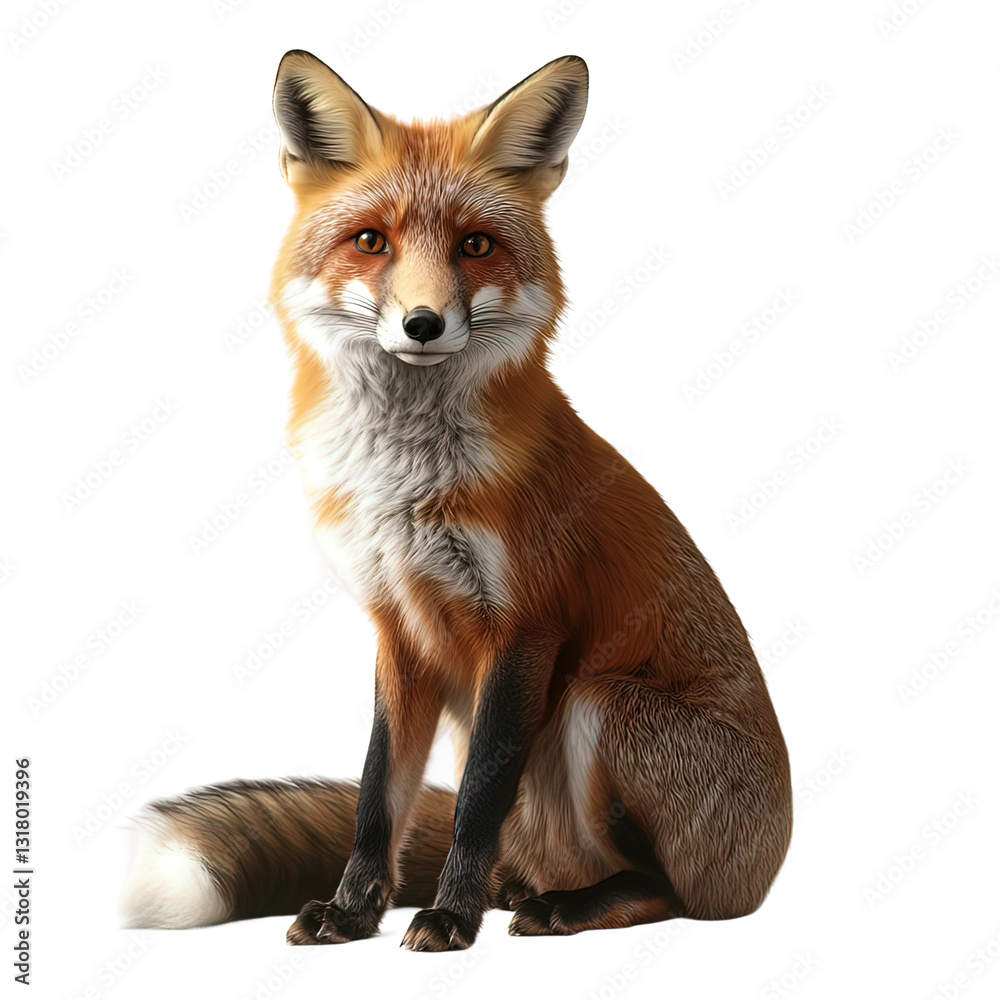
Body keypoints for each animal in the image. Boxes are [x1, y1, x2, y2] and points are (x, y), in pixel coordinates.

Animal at [121, 51, 792, 951]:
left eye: (475, 245)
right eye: (371, 241)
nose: (423, 323)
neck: (405, 487)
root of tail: (766, 870)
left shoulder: (525, 625)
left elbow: (475, 798)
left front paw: (449, 915)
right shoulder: (397, 626)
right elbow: (378, 795)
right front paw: (354, 910)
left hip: (599, 704)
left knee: (667, 890)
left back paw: (563, 906)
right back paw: (521, 892)